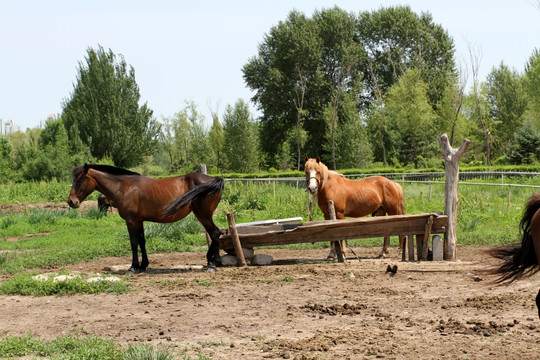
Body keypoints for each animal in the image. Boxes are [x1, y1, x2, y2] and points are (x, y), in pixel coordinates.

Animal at [67, 164, 224, 272]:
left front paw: (133, 267)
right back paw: (213, 261)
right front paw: (143, 265)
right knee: (215, 233)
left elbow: (133, 242)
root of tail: (214, 179)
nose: (71, 201)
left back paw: (213, 263)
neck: (124, 188)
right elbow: (142, 241)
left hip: (203, 215)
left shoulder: (131, 221)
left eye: (80, 179)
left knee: (215, 232)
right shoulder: (139, 221)